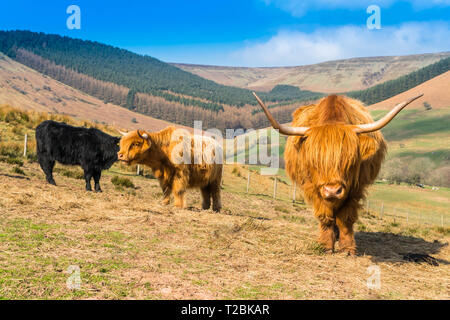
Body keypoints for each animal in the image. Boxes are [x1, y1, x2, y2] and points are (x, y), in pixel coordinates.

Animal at [255, 92, 424, 255]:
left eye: (350, 160)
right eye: (314, 161)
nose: (332, 191)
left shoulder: (355, 188)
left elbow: (345, 218)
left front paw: (347, 248)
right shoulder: (314, 188)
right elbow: (325, 216)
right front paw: (325, 246)